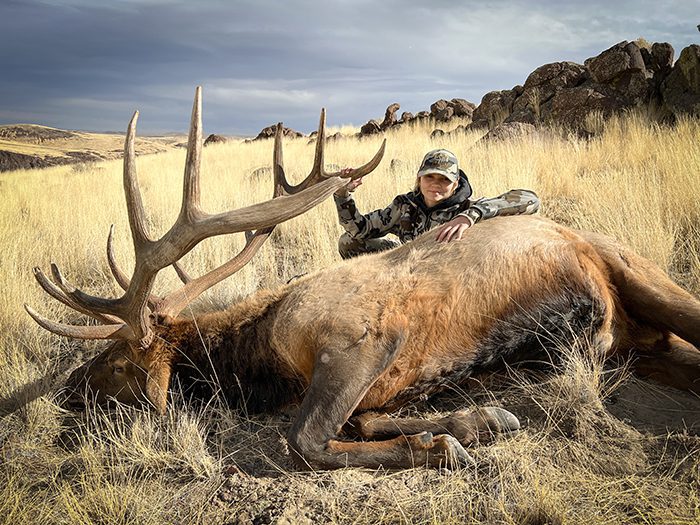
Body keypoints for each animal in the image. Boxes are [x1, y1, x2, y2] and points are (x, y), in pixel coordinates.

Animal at [26, 87, 700, 471]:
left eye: (117, 363)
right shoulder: (389, 385)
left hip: (637, 274)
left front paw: (442, 447)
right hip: (640, 344)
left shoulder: (362, 342)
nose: (63, 398)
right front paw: (476, 423)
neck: (262, 360)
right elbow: (366, 422)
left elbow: (305, 441)